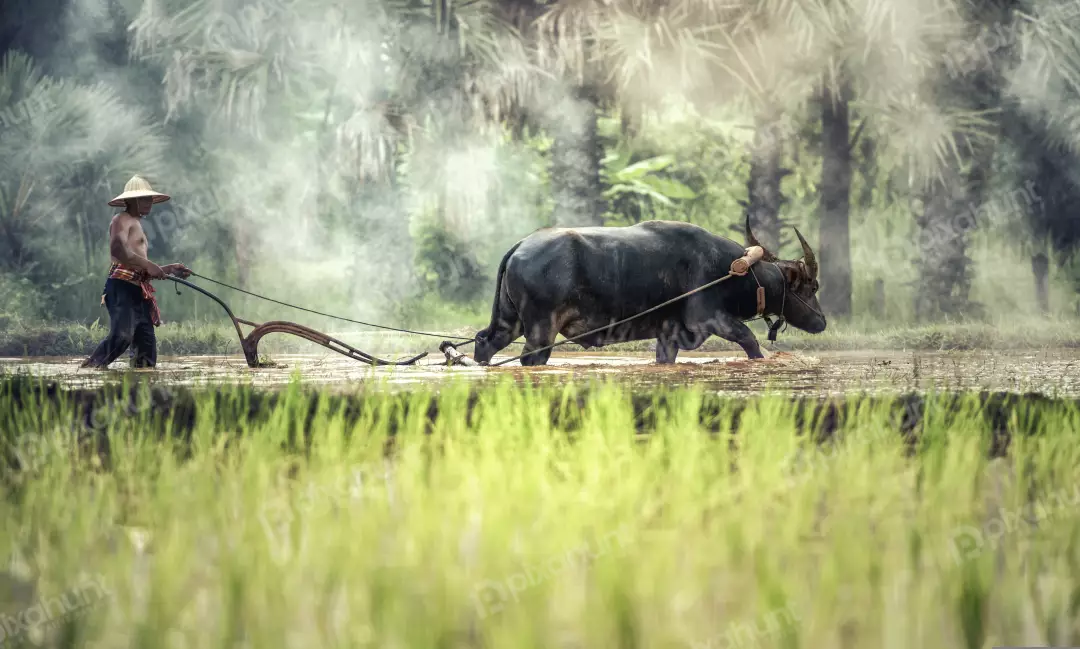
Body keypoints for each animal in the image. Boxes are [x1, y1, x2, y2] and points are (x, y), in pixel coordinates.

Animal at [473, 219, 825, 364]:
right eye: (812, 286)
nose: (821, 321)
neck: (733, 270)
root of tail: (520, 246)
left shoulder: (670, 334)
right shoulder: (710, 319)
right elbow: (750, 341)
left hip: (509, 321)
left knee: (485, 342)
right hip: (541, 330)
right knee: (530, 358)